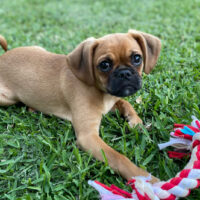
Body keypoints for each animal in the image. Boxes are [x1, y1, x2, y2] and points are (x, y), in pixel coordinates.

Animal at [0, 30, 161, 183]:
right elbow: (118, 158)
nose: (125, 73)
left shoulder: (111, 103)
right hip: (6, 98)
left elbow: (124, 103)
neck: (101, 92)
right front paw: (146, 179)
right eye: (104, 65)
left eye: (137, 58)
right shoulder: (88, 137)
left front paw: (136, 121)